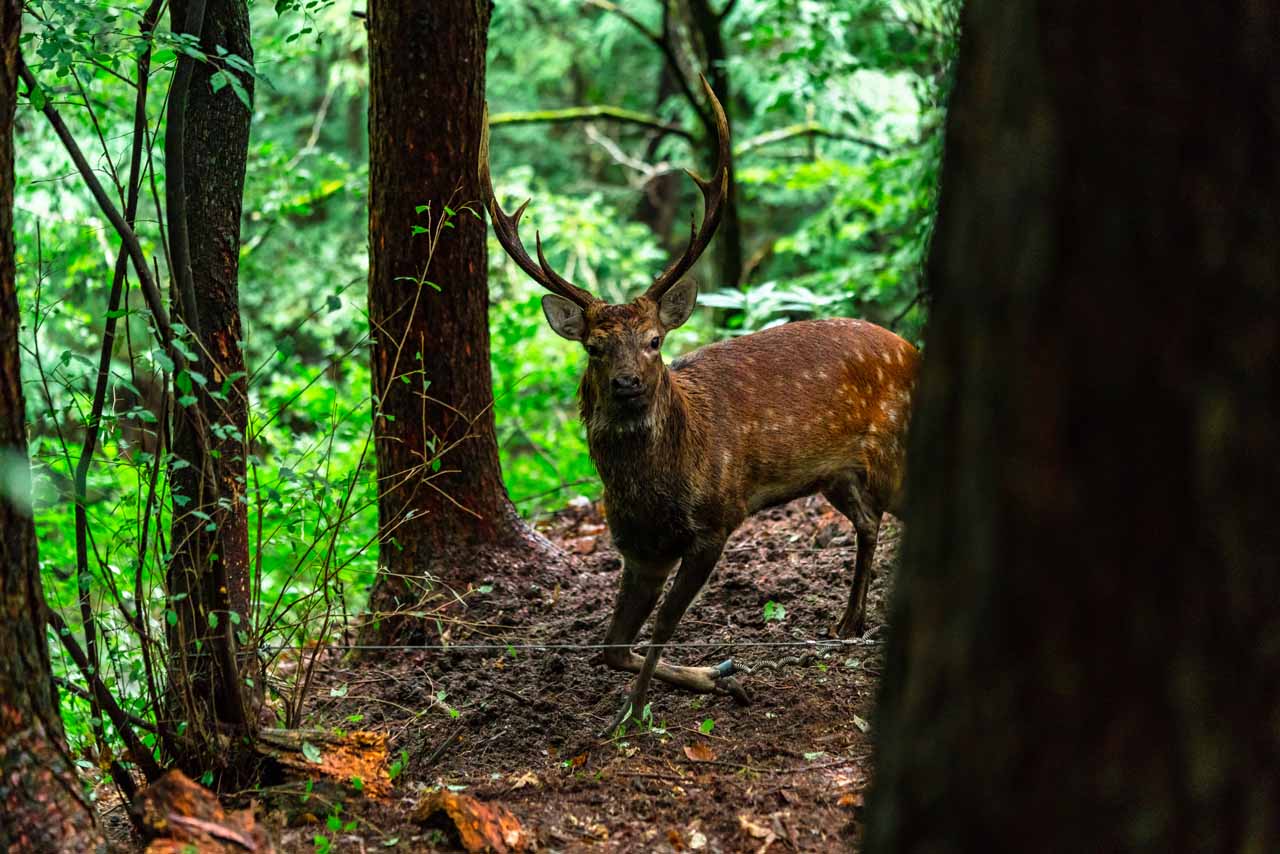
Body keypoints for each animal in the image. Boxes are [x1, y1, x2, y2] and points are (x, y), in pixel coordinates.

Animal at [481, 78, 921, 737]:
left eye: (655, 341)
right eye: (594, 346)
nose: (629, 384)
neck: (656, 488)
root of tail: (914, 350)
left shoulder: (716, 520)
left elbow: (663, 627)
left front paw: (637, 713)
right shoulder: (638, 548)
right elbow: (611, 646)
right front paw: (716, 678)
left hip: (894, 448)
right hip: (834, 473)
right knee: (868, 521)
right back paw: (848, 623)